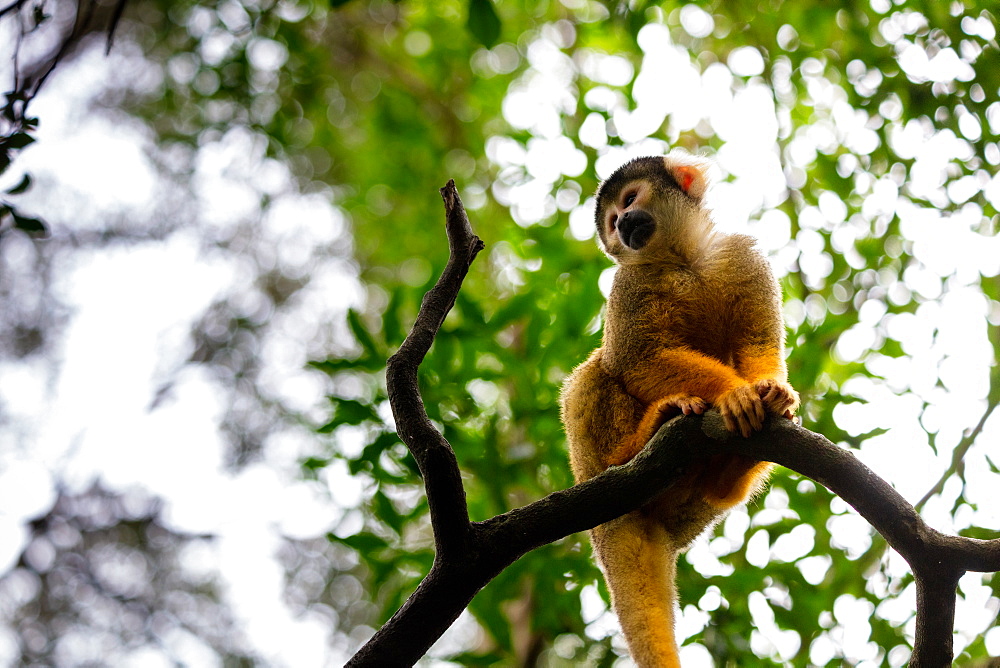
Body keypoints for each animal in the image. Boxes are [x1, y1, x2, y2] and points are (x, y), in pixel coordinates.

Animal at [560, 155, 800, 664]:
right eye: (612, 221)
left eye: (629, 200)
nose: (622, 225)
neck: (681, 258)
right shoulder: (628, 283)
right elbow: (636, 359)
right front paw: (733, 395)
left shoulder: (741, 253)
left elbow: (758, 342)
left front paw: (772, 391)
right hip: (588, 466)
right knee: (596, 371)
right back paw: (636, 444)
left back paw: (731, 473)